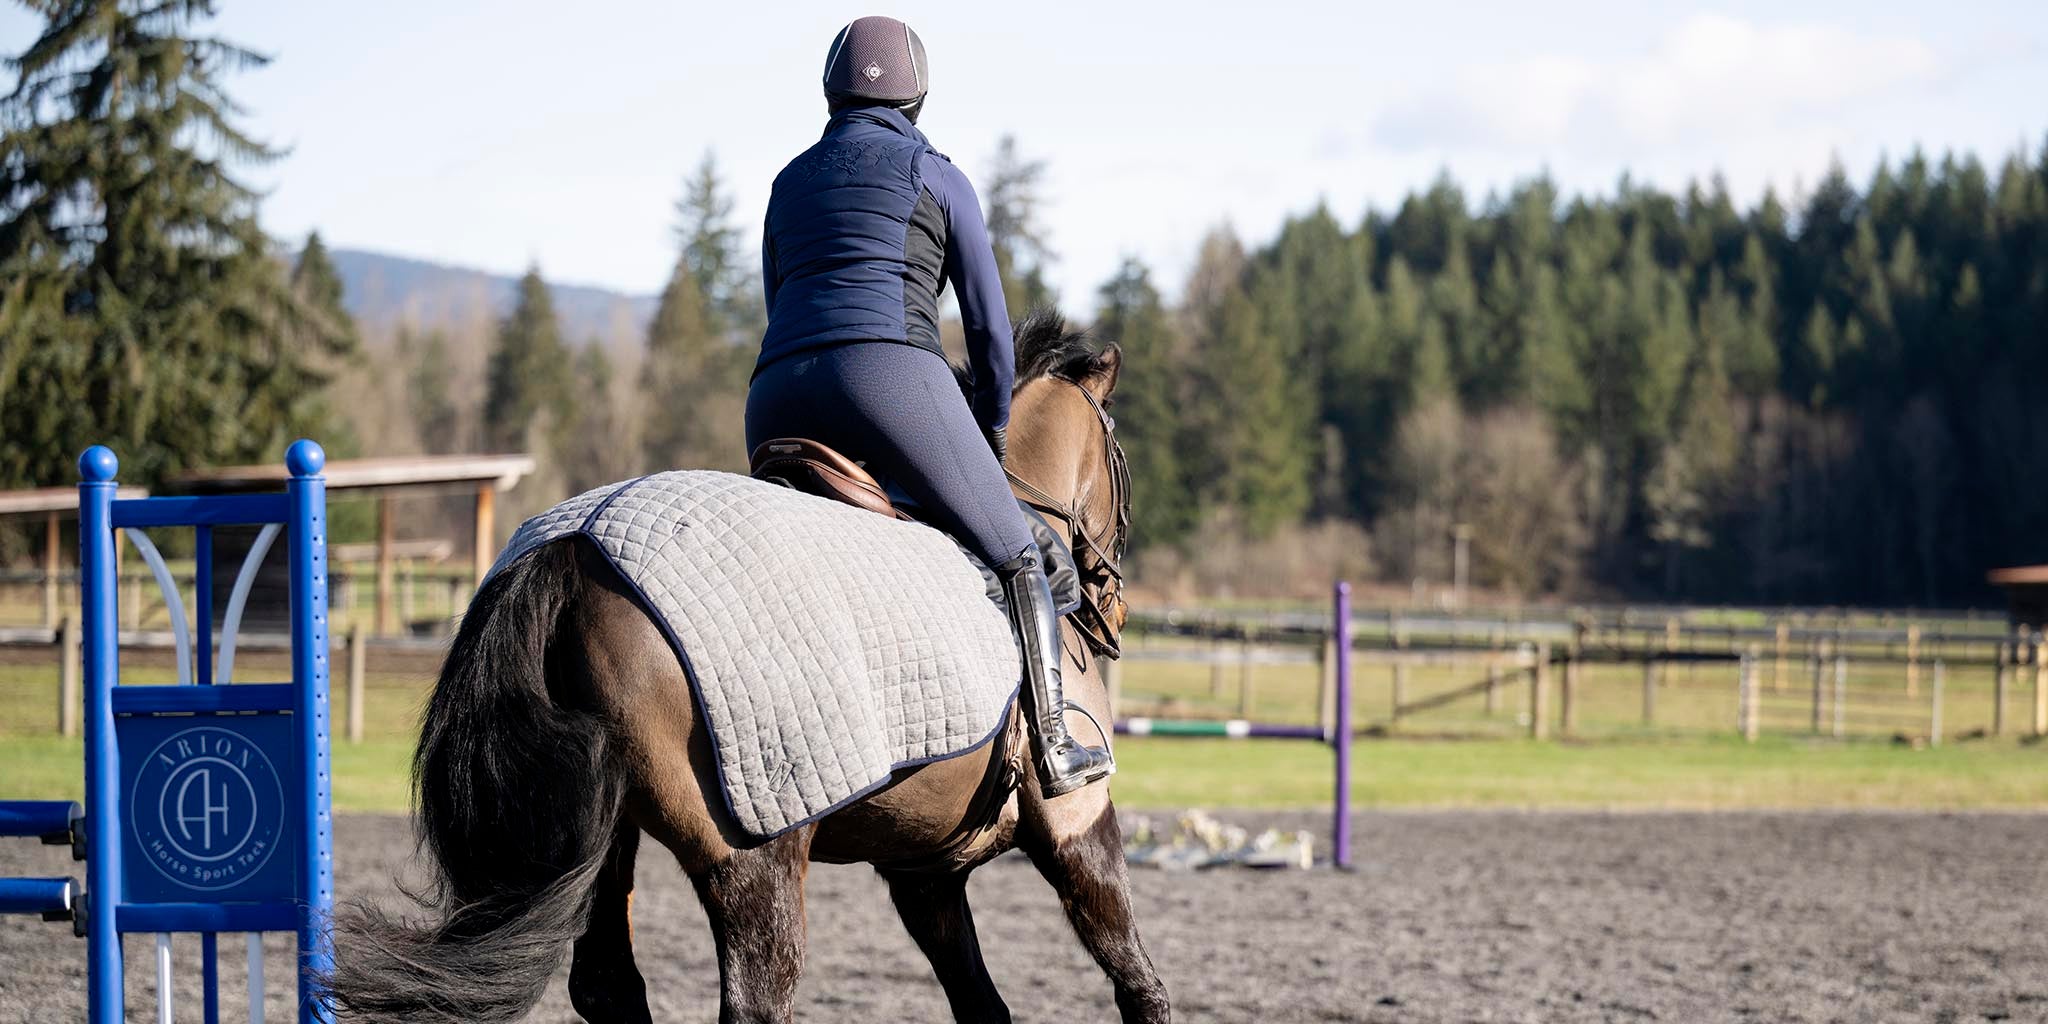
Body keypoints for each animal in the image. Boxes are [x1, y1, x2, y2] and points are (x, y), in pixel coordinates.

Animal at [329, 313, 1179, 1024]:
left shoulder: (923, 871)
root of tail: (571, 548)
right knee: (757, 997)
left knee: (608, 984)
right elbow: (1138, 983)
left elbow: (984, 1006)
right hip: (756, 849)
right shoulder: (1076, 824)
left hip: (598, 835)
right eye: (1123, 460)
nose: (1112, 609)